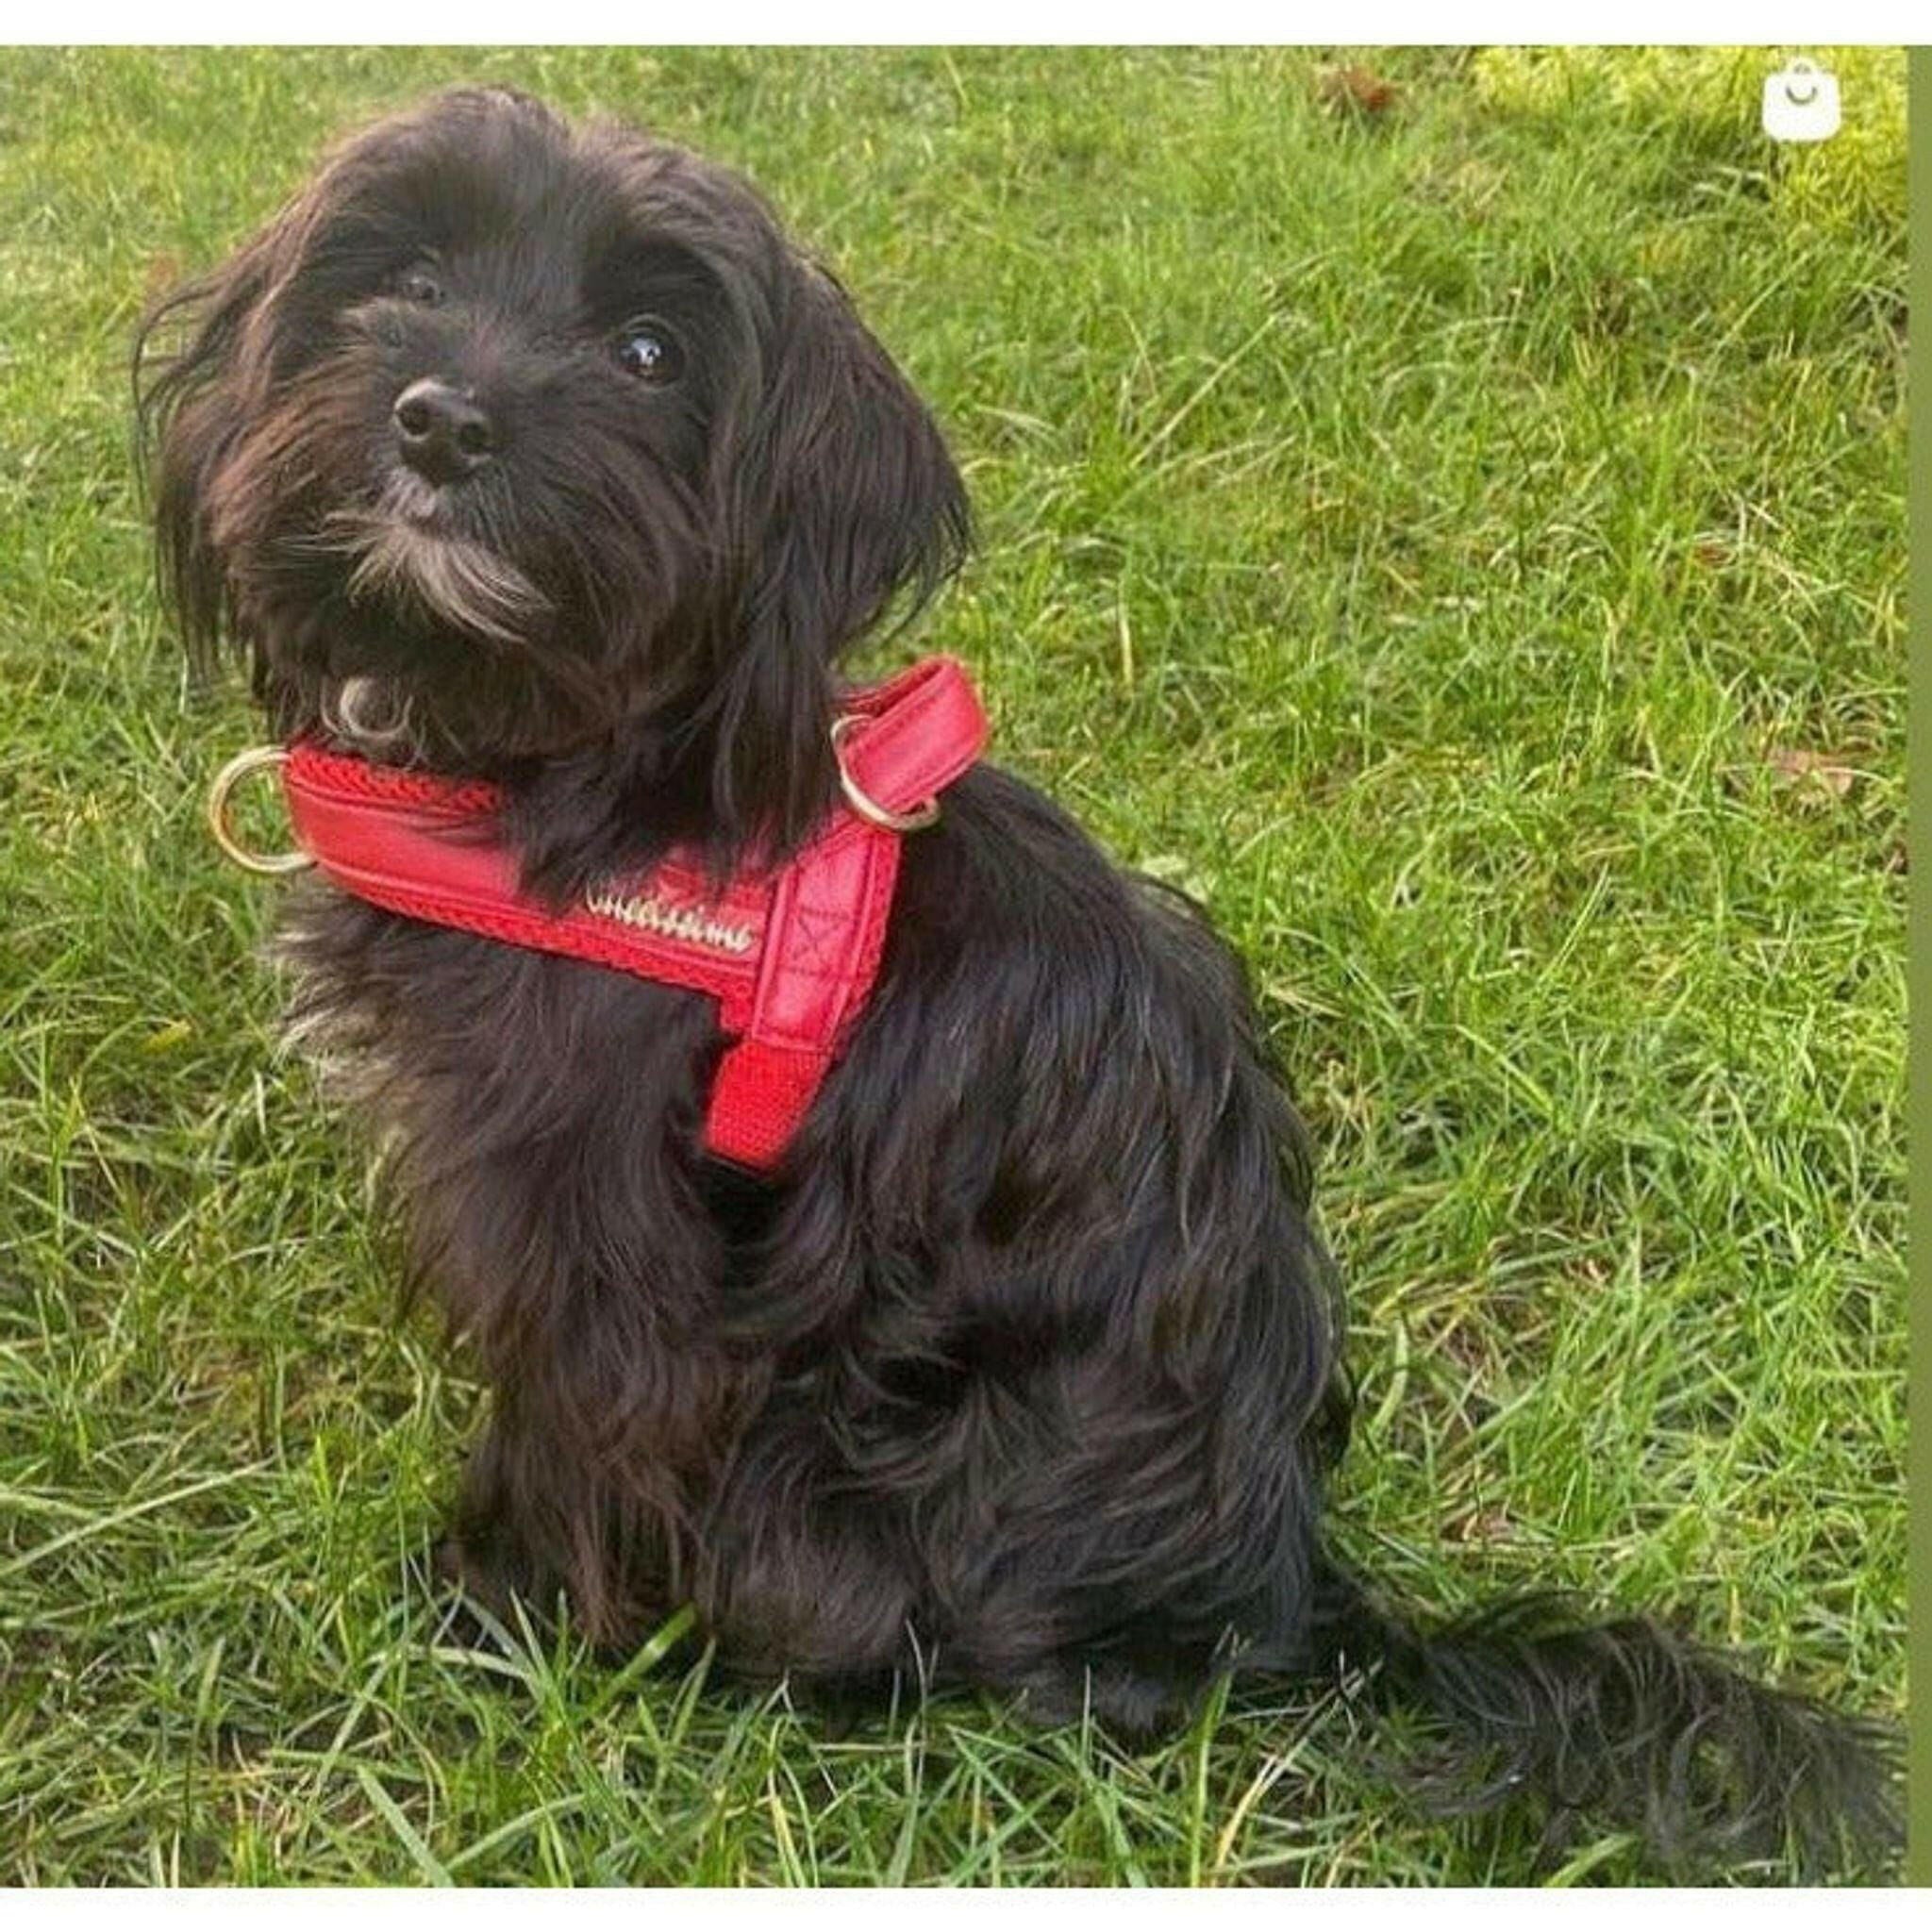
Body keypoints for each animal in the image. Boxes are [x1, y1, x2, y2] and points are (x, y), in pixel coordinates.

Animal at [140, 87, 1901, 1870]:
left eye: (648, 352)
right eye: (405, 280)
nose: (442, 423)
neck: (590, 780)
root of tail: (1286, 1598)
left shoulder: (609, 1270)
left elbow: (572, 1436)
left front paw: (495, 1616)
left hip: (837, 1495)